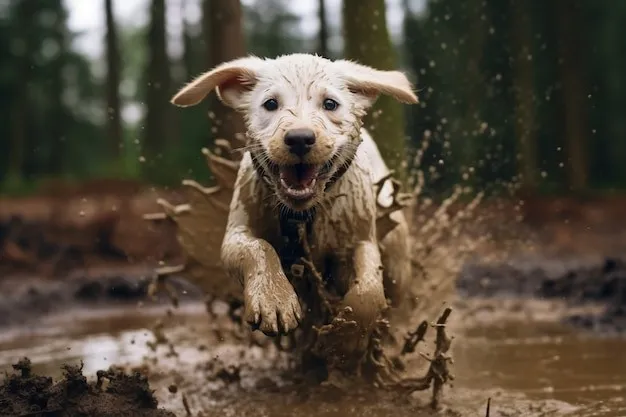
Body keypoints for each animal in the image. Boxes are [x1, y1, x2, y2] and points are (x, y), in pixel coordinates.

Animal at [171, 54, 416, 368]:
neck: (302, 214)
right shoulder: (237, 231)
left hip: (396, 250)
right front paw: (274, 300)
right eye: (270, 104)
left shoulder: (361, 238)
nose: (300, 138)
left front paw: (346, 340)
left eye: (330, 104)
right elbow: (258, 247)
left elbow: (369, 290)